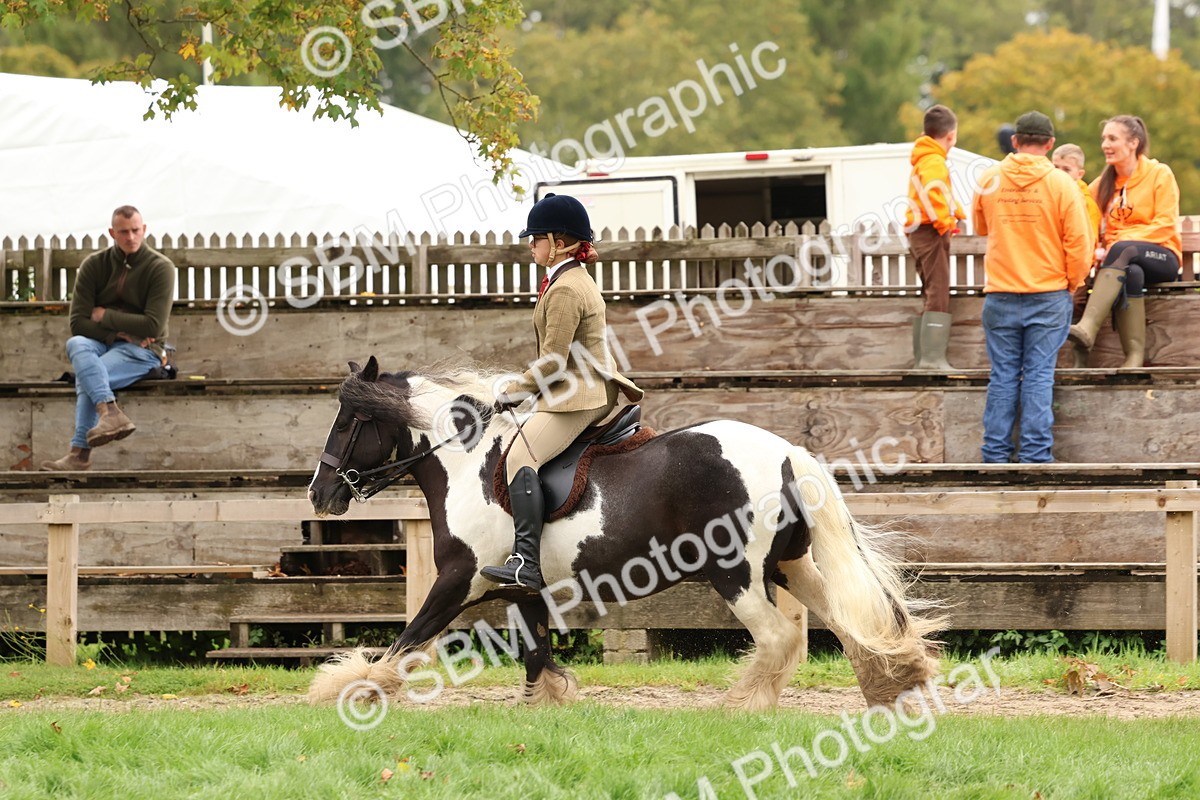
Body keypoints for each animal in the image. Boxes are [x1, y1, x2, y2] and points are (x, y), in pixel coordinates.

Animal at [306, 356, 942, 711]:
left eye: (349, 422)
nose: (320, 494)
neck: (466, 463)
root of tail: (788, 453)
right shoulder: (523, 585)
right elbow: (535, 647)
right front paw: (549, 703)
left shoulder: (459, 580)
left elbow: (409, 639)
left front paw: (349, 688)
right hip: (792, 566)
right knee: (847, 624)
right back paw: (892, 690)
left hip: (735, 572)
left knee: (779, 637)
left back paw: (741, 705)